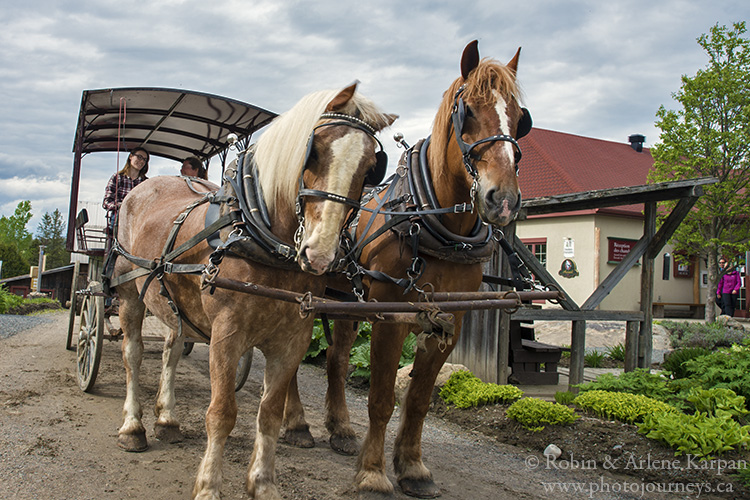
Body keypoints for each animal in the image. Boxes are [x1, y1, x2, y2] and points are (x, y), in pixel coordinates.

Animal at [111, 83, 400, 500]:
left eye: (370, 167)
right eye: (314, 151)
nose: (320, 253)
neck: (259, 235)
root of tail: (144, 186)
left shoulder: (293, 339)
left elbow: (269, 413)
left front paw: (262, 483)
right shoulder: (226, 335)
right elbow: (222, 412)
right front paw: (209, 487)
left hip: (173, 304)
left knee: (170, 351)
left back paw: (167, 418)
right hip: (128, 292)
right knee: (132, 354)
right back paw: (133, 427)